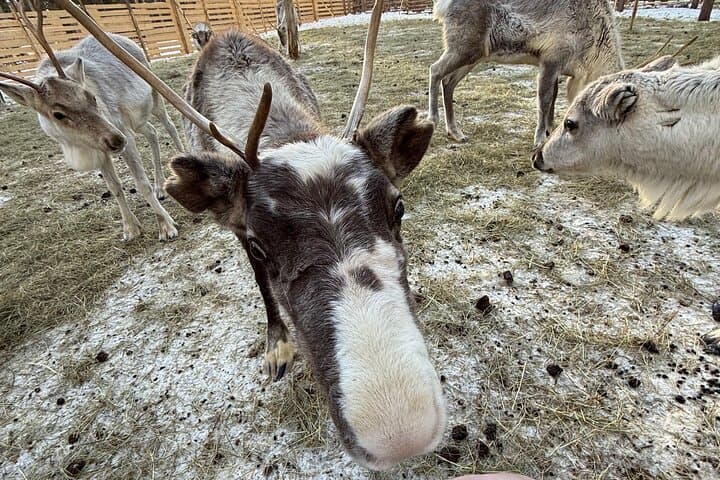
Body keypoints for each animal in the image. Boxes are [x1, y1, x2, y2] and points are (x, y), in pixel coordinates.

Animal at [0, 0, 183, 241]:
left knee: (169, 125)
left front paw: (166, 226)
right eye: (58, 114)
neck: (78, 147)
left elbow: (140, 183)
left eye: (91, 96)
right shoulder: (100, 147)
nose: (116, 140)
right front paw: (130, 229)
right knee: (152, 132)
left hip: (153, 100)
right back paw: (160, 187)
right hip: (135, 121)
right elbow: (115, 187)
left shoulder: (122, 134)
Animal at [58, 0, 446, 470]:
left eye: (399, 207)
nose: (399, 433)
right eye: (261, 245)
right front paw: (277, 347)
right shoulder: (239, 231)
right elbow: (263, 288)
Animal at [428, 0, 625, 145]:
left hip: (474, 55)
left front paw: (550, 129)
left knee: (448, 81)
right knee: (435, 70)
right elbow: (544, 101)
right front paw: (539, 139)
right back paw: (433, 119)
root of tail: (443, 5)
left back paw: (455, 132)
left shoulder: (559, 69)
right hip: (463, 48)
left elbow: (553, 99)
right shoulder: (551, 59)